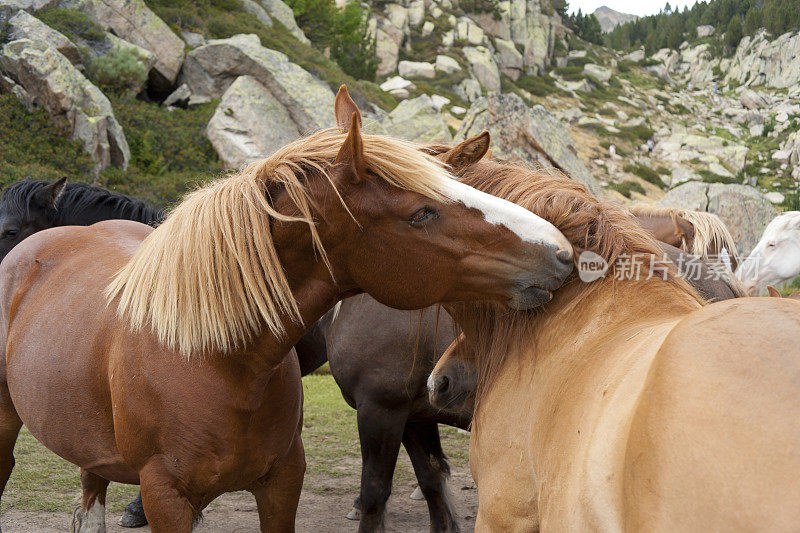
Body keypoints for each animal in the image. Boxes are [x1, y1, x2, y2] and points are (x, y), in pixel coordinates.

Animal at [0, 86, 576, 528]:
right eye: (421, 213)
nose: (561, 251)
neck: (216, 359)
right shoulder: (171, 495)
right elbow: (407, 491)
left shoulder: (286, 482)